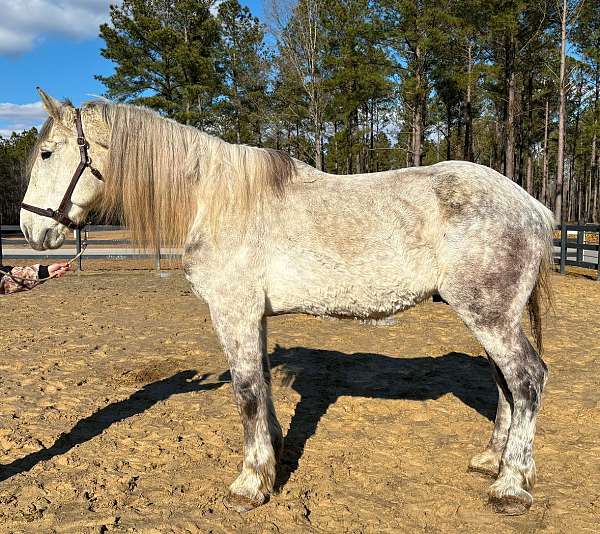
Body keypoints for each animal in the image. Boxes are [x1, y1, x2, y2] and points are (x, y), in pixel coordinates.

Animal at [19, 89, 552, 520]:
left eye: (47, 151)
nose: (30, 230)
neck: (216, 200)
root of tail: (532, 206)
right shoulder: (253, 317)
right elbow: (262, 387)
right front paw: (272, 452)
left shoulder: (232, 313)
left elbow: (247, 392)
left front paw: (250, 484)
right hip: (489, 317)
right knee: (504, 383)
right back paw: (491, 461)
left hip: (489, 315)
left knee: (526, 379)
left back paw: (511, 486)